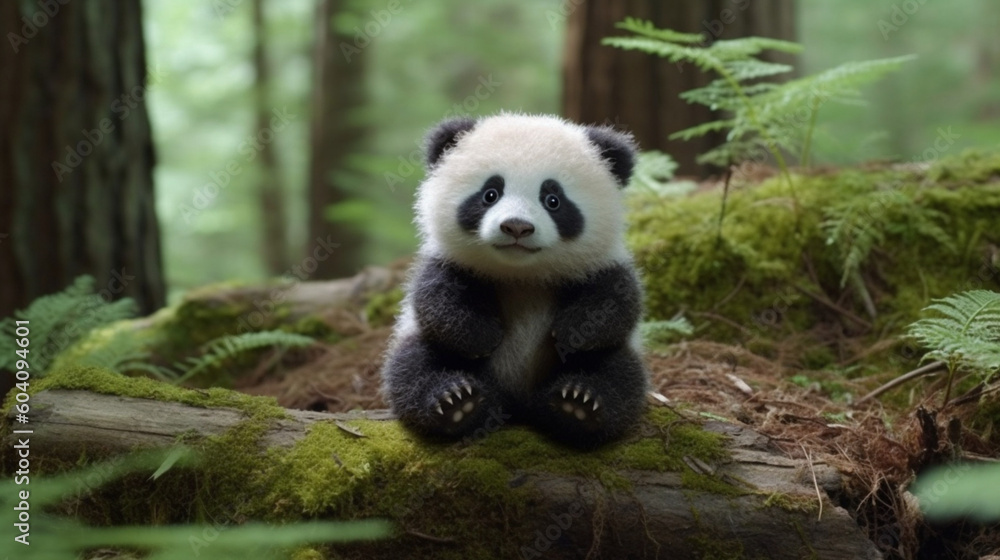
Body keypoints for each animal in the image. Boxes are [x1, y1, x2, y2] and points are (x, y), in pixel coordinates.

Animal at [381, 113, 648, 447]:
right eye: (490, 194)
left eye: (552, 199)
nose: (517, 227)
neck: (523, 275)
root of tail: (518, 405)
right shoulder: (450, 264)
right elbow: (436, 300)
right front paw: (482, 337)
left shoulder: (601, 265)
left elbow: (617, 302)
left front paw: (571, 332)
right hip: (421, 346)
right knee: (413, 365)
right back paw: (458, 402)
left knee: (619, 375)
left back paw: (577, 404)